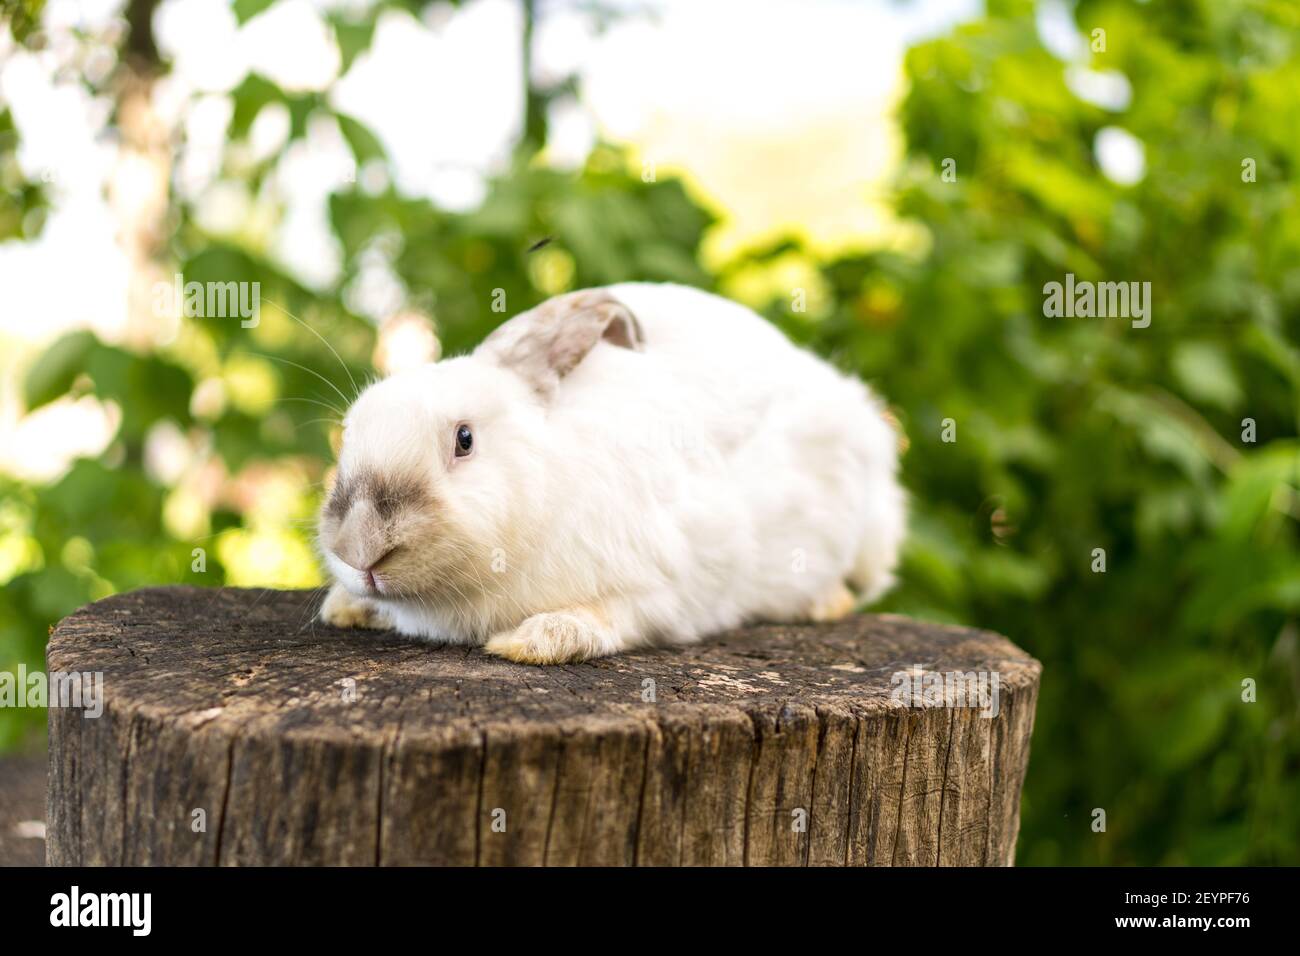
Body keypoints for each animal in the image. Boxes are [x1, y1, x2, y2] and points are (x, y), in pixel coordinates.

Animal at [317, 282, 905, 664]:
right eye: (348, 433)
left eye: (465, 439)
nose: (359, 550)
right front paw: (344, 608)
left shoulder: (670, 588)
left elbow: (612, 618)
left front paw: (532, 642)